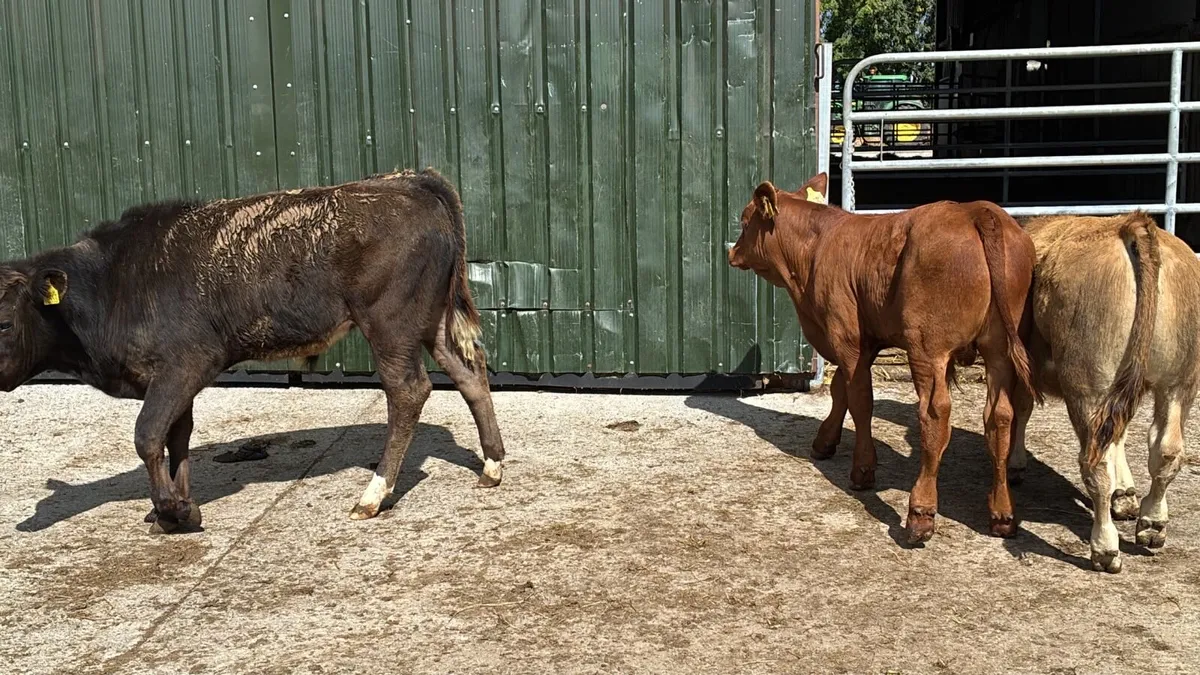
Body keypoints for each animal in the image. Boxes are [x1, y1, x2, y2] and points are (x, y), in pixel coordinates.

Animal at [0, 168, 506, 532]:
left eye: (4, 321)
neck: (113, 282)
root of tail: (409, 181)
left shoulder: (186, 363)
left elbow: (148, 434)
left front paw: (174, 512)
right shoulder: (173, 376)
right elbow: (177, 436)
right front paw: (175, 505)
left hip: (390, 323)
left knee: (408, 390)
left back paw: (373, 495)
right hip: (432, 319)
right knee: (469, 371)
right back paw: (492, 465)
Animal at [728, 172, 1039, 544]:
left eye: (745, 221)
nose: (731, 252)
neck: (817, 248)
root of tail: (976, 210)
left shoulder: (847, 338)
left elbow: (860, 401)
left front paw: (863, 470)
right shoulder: (865, 342)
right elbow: (840, 391)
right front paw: (824, 442)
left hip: (928, 348)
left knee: (935, 415)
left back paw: (920, 513)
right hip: (1000, 350)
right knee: (1000, 417)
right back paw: (1002, 513)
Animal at [1011, 212, 1200, 572]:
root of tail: (1132, 224)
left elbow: (1018, 409)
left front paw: (1013, 463)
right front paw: (1125, 494)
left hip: (1088, 383)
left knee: (1094, 464)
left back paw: (1105, 547)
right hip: (1180, 381)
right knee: (1165, 451)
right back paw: (1152, 523)